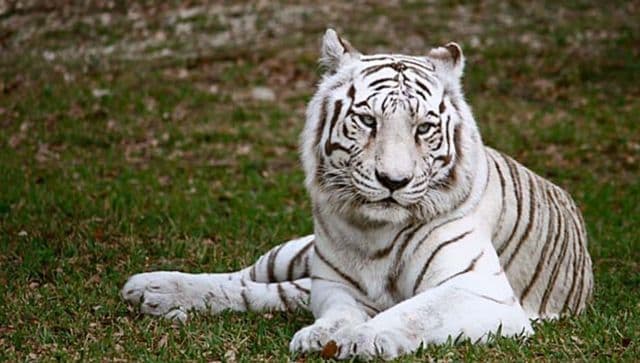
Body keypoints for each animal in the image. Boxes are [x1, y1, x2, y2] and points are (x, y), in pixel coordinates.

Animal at [121, 29, 596, 362]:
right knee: (245, 280)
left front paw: (360, 338)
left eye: (424, 127)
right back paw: (154, 288)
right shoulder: (334, 283)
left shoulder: (482, 290)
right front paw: (324, 334)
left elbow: (414, 311)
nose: (393, 181)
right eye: (367, 120)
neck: (375, 231)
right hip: (297, 253)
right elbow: (339, 312)